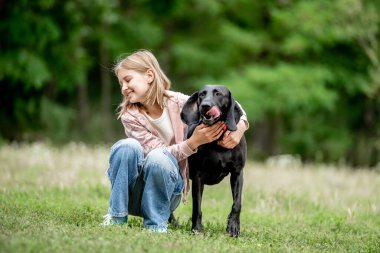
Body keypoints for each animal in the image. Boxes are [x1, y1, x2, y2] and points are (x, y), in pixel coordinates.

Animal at [180, 85, 246, 237]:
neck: (217, 140)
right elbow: (197, 207)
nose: (205, 106)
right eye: (202, 95)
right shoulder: (198, 177)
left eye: (218, 94)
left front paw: (233, 227)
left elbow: (237, 204)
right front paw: (197, 229)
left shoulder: (237, 173)